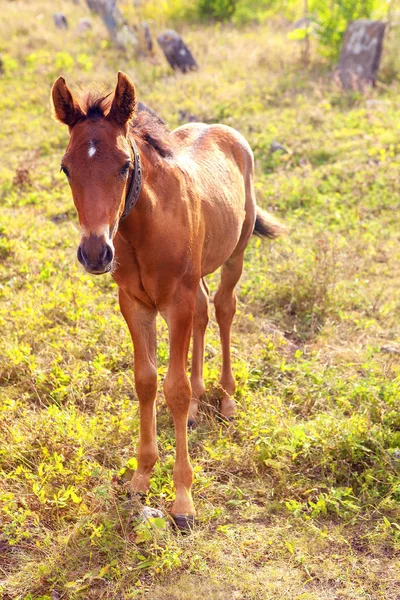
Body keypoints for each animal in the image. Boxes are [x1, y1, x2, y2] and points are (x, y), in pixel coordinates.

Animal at [52, 71, 284, 528]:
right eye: (67, 167)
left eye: (124, 165)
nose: (95, 253)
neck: (145, 227)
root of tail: (223, 129)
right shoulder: (134, 303)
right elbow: (145, 381)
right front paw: (141, 477)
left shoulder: (175, 302)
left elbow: (173, 388)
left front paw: (183, 501)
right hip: (195, 278)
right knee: (205, 310)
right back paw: (196, 409)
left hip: (235, 254)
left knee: (224, 308)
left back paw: (226, 400)